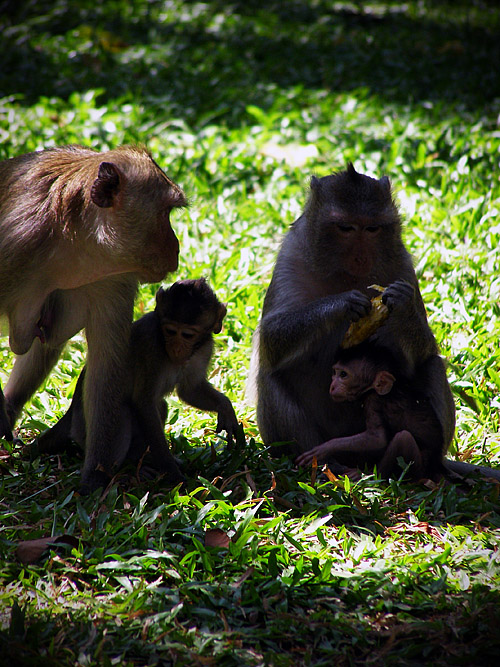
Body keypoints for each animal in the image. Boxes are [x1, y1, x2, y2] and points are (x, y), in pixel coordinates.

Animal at [0, 145, 187, 490]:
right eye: (166, 213)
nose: (176, 247)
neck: (71, 242)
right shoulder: (14, 249)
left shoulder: (114, 279)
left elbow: (105, 369)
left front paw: (94, 479)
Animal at [39, 276, 238, 486]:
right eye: (170, 331)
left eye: (187, 335)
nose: (176, 348)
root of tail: (70, 413)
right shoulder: (150, 344)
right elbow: (144, 402)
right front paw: (171, 472)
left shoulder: (204, 348)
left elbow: (190, 390)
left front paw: (225, 407)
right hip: (82, 428)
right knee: (123, 413)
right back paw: (125, 468)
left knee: (161, 406)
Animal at [294, 344, 444, 480]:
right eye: (334, 372)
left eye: (343, 375)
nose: (332, 386)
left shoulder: (373, 400)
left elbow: (377, 438)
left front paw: (324, 449)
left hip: (419, 468)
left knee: (403, 437)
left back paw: (367, 475)